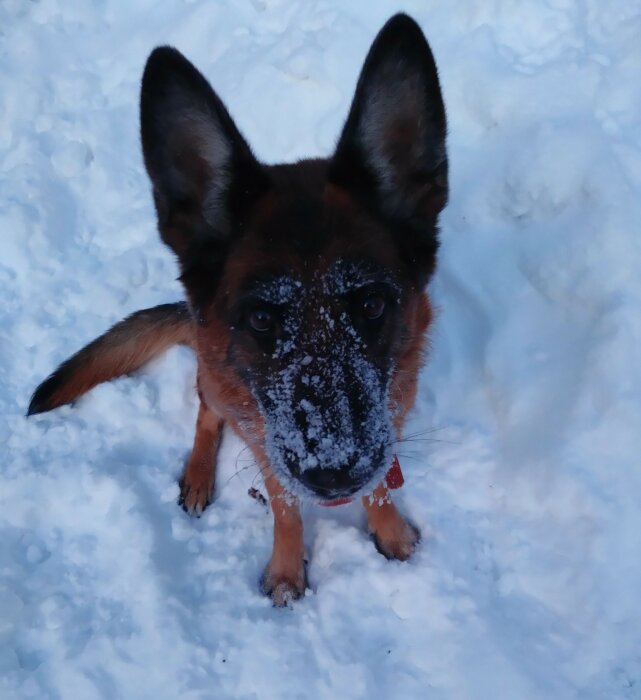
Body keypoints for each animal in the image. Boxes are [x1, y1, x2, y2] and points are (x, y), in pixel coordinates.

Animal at [27, 13, 448, 604]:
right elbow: (286, 506)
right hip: (218, 382)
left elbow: (382, 484)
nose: (335, 473)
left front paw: (390, 534)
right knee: (206, 413)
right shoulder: (267, 440)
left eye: (370, 304)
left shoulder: (391, 414)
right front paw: (288, 571)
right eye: (262, 319)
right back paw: (200, 474)